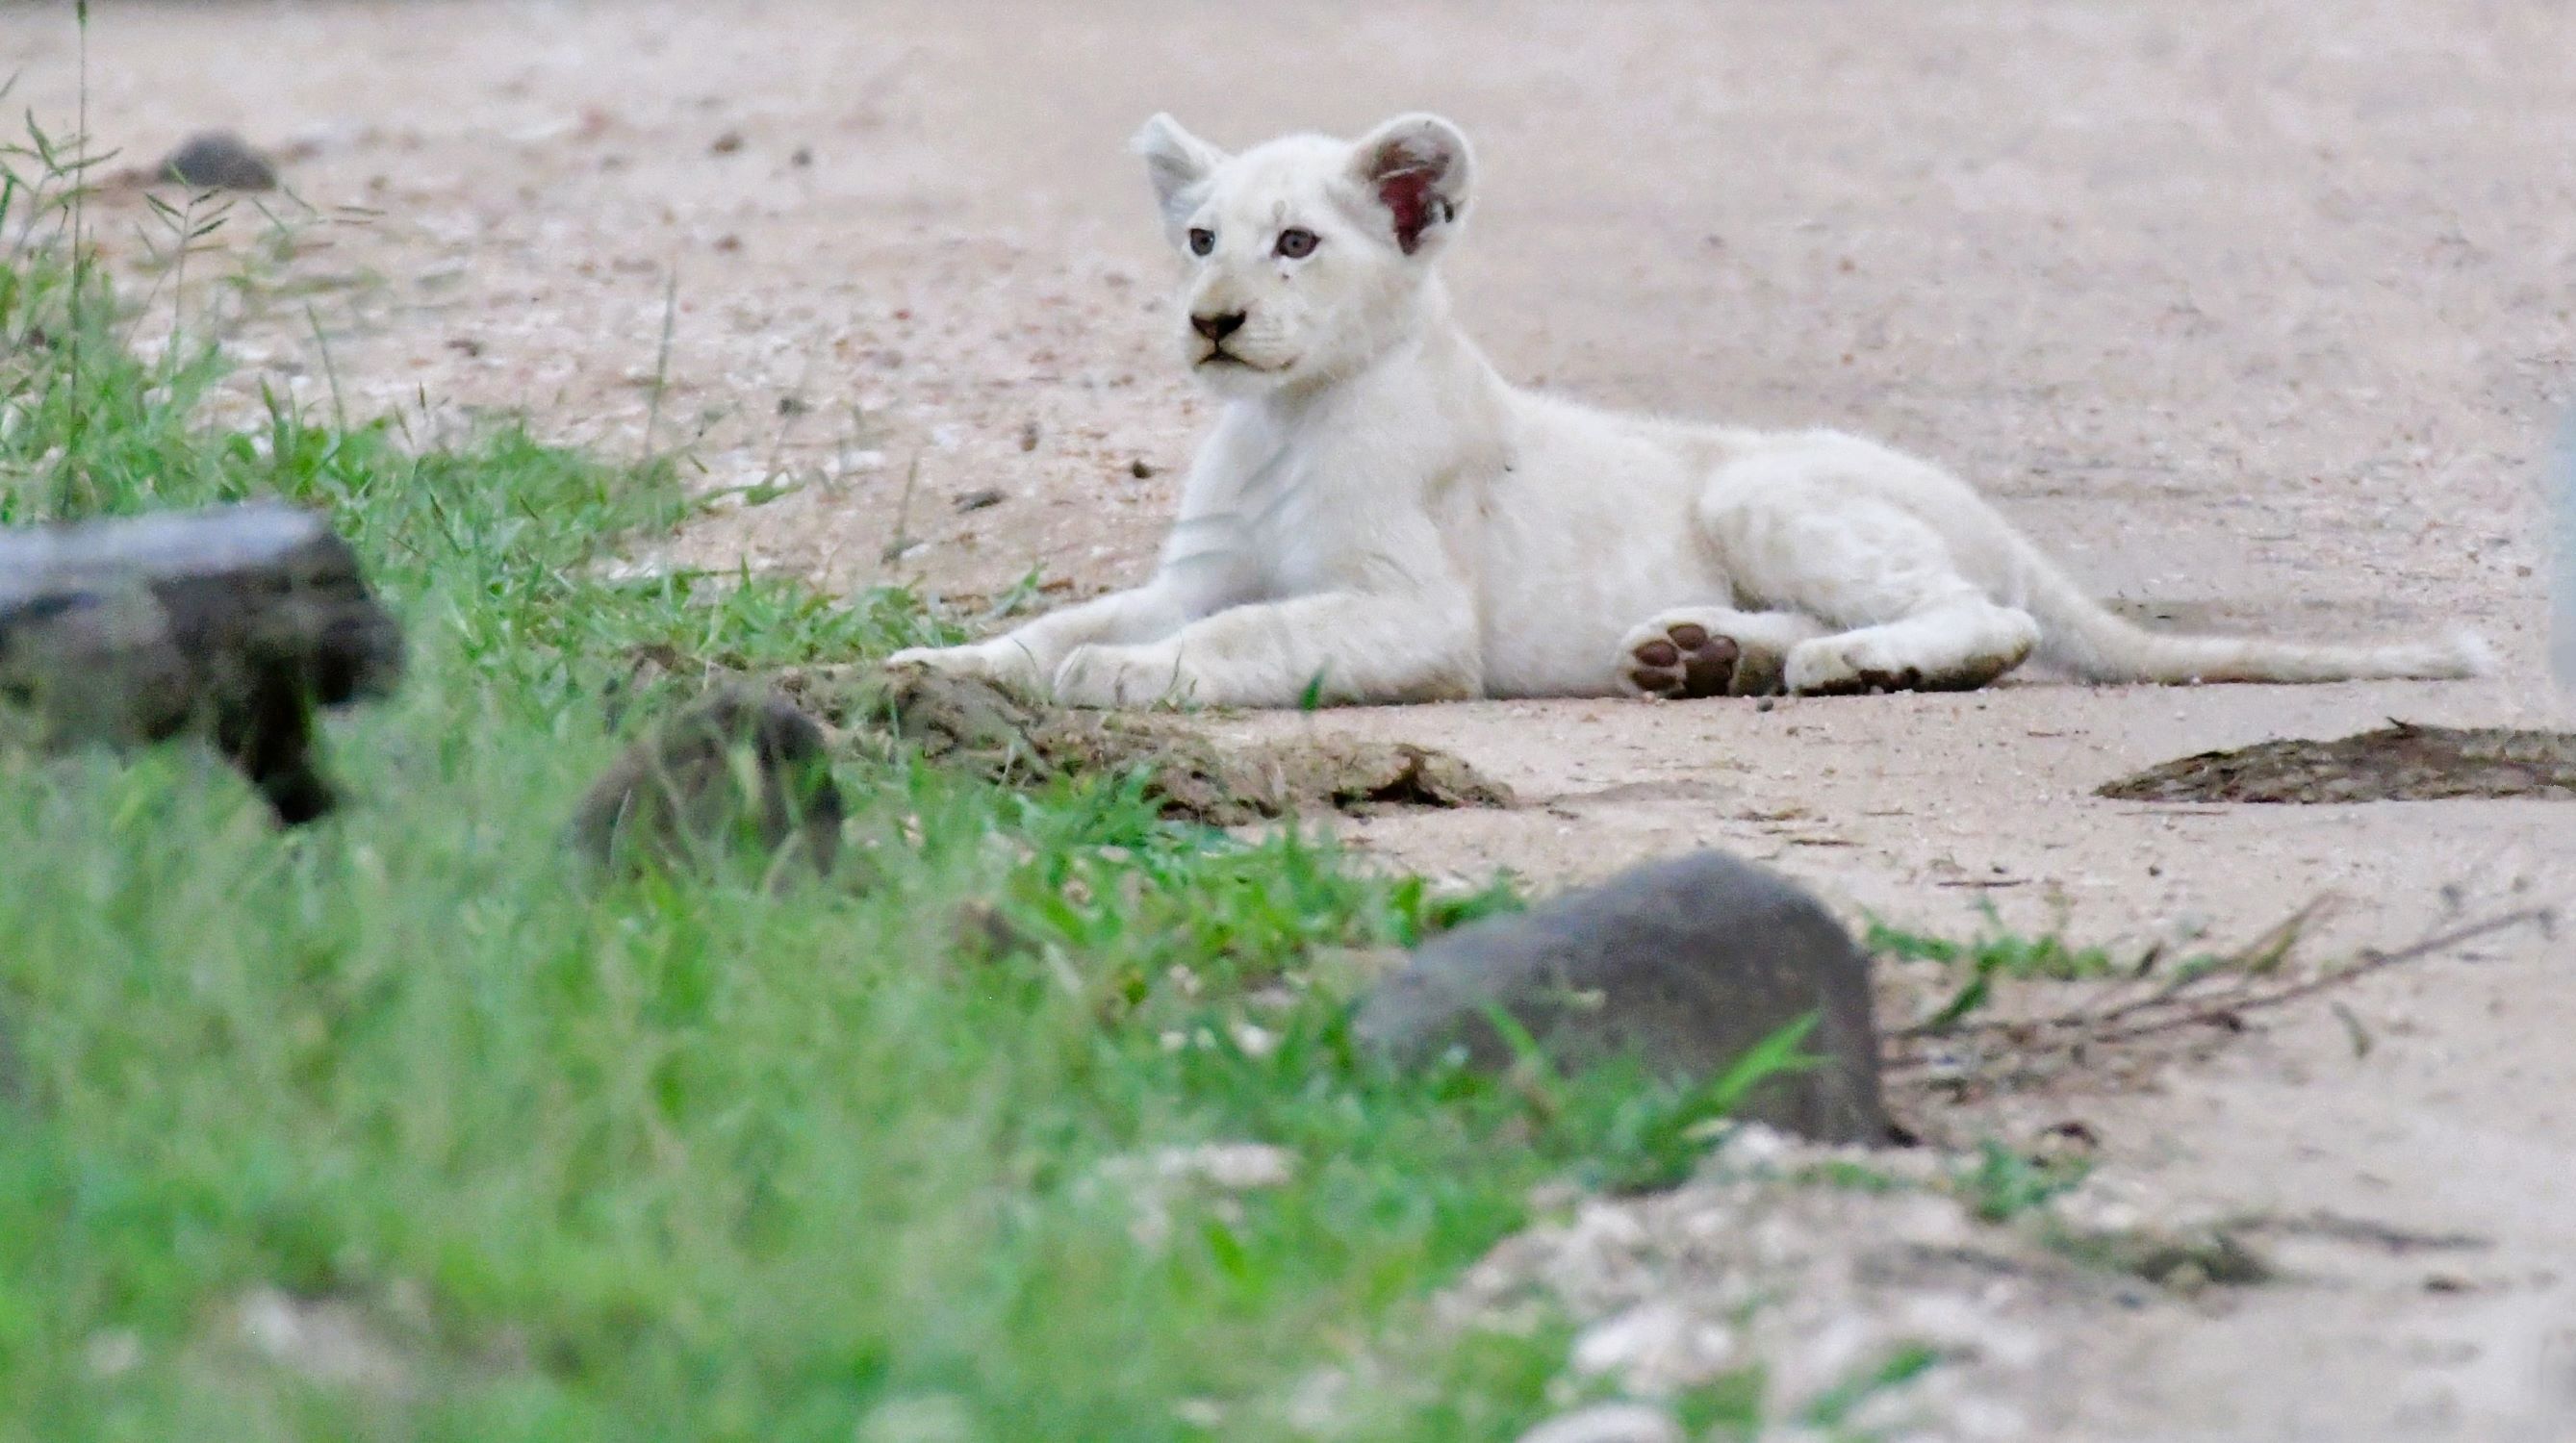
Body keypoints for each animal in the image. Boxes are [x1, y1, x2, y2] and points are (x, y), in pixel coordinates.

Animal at [887, 112, 2490, 707]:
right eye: (1200, 238)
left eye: (1297, 244)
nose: (1211, 322)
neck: (1282, 417)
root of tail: (1982, 505)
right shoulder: (1193, 571)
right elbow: (1066, 619)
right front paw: (938, 662)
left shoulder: (1415, 613)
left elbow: (1241, 638)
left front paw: (1122, 684)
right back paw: (1697, 655)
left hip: (1761, 490)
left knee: (1992, 619)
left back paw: (1852, 666)